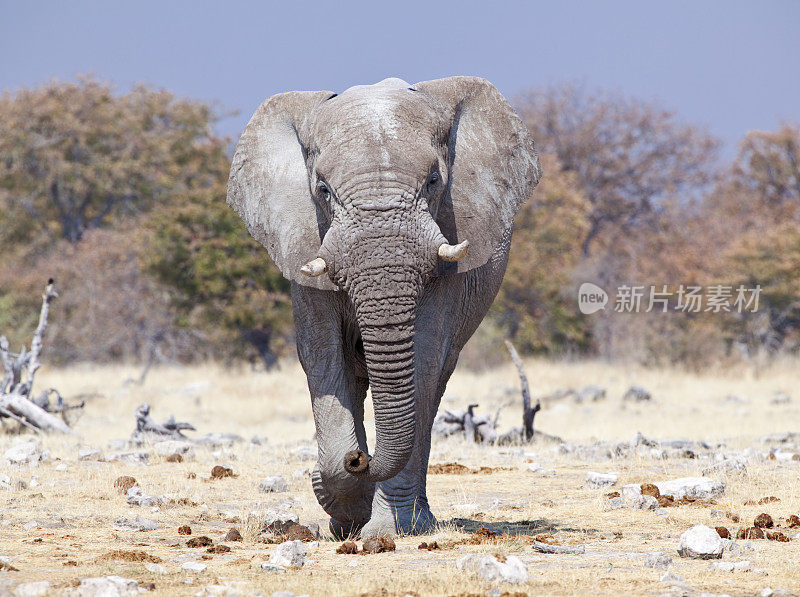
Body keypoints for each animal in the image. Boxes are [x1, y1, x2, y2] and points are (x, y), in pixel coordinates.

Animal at [228, 77, 548, 536]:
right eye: (322, 190)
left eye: (433, 180)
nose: (360, 459)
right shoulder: (305, 241)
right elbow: (323, 355)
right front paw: (346, 506)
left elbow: (422, 359)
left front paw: (385, 529)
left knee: (433, 387)